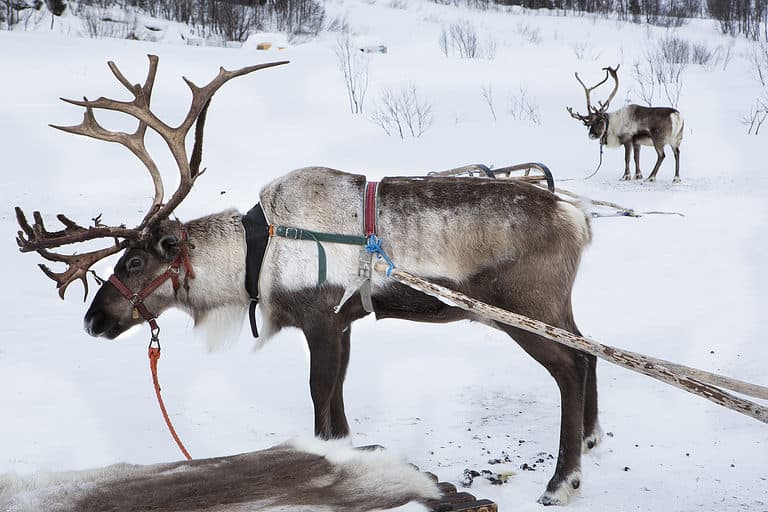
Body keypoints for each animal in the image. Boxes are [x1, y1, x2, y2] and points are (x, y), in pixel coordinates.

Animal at [16, 56, 596, 506]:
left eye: (134, 262)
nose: (92, 320)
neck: (255, 253)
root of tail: (578, 218)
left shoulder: (320, 318)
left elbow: (320, 398)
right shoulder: (345, 322)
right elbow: (337, 403)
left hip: (522, 309)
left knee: (569, 367)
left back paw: (562, 482)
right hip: (556, 307)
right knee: (588, 350)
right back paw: (591, 439)